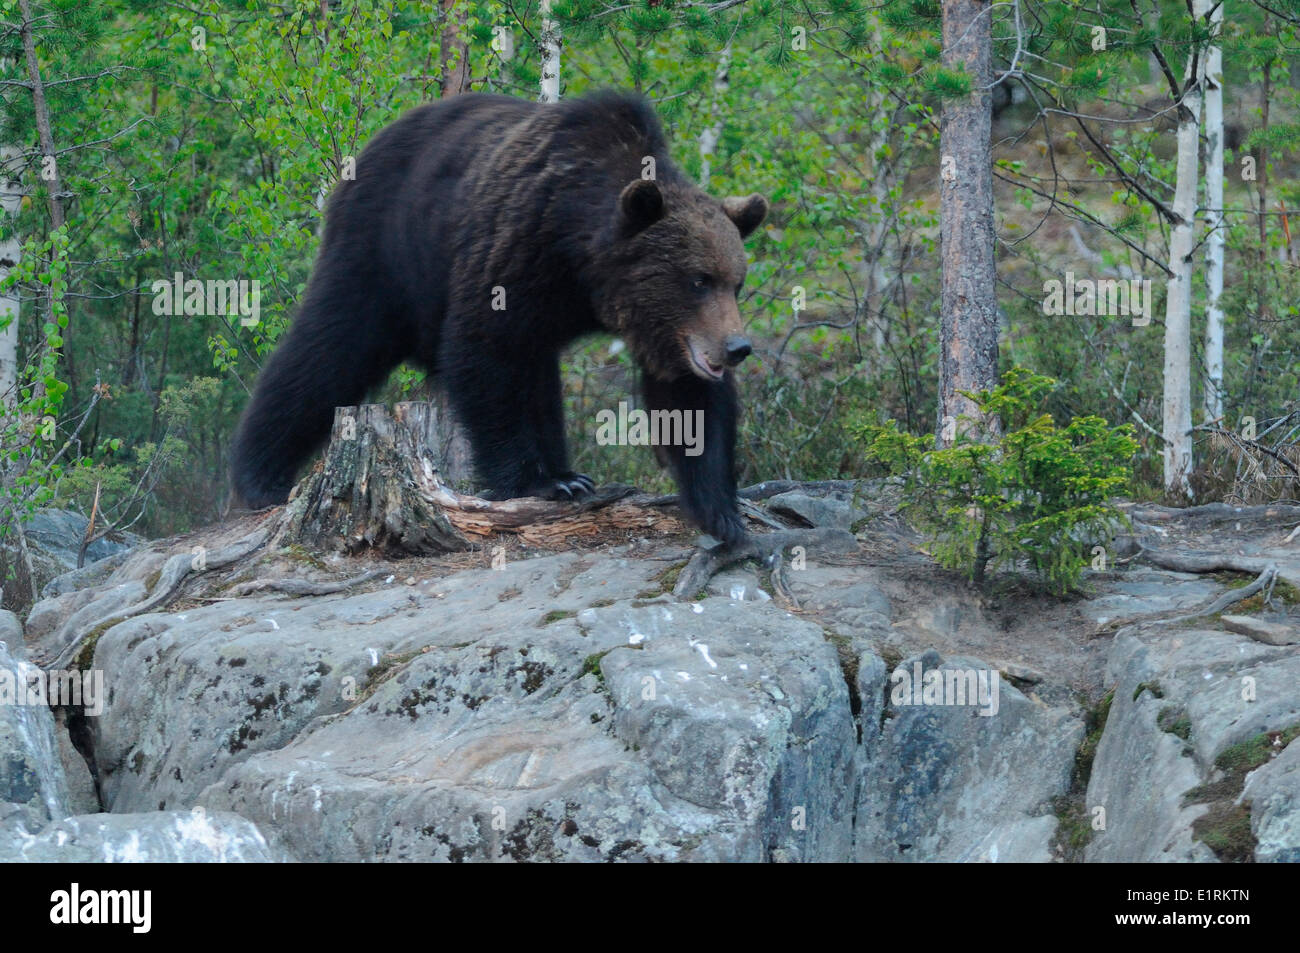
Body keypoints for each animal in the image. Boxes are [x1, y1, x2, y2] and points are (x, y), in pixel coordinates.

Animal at [230, 94, 764, 551]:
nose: (737, 347)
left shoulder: (662, 330)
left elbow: (690, 400)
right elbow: (485, 352)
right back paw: (259, 476)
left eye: (734, 281)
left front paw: (722, 513)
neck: (580, 258)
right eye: (698, 279)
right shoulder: (517, 247)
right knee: (329, 349)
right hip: (383, 250)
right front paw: (537, 482)